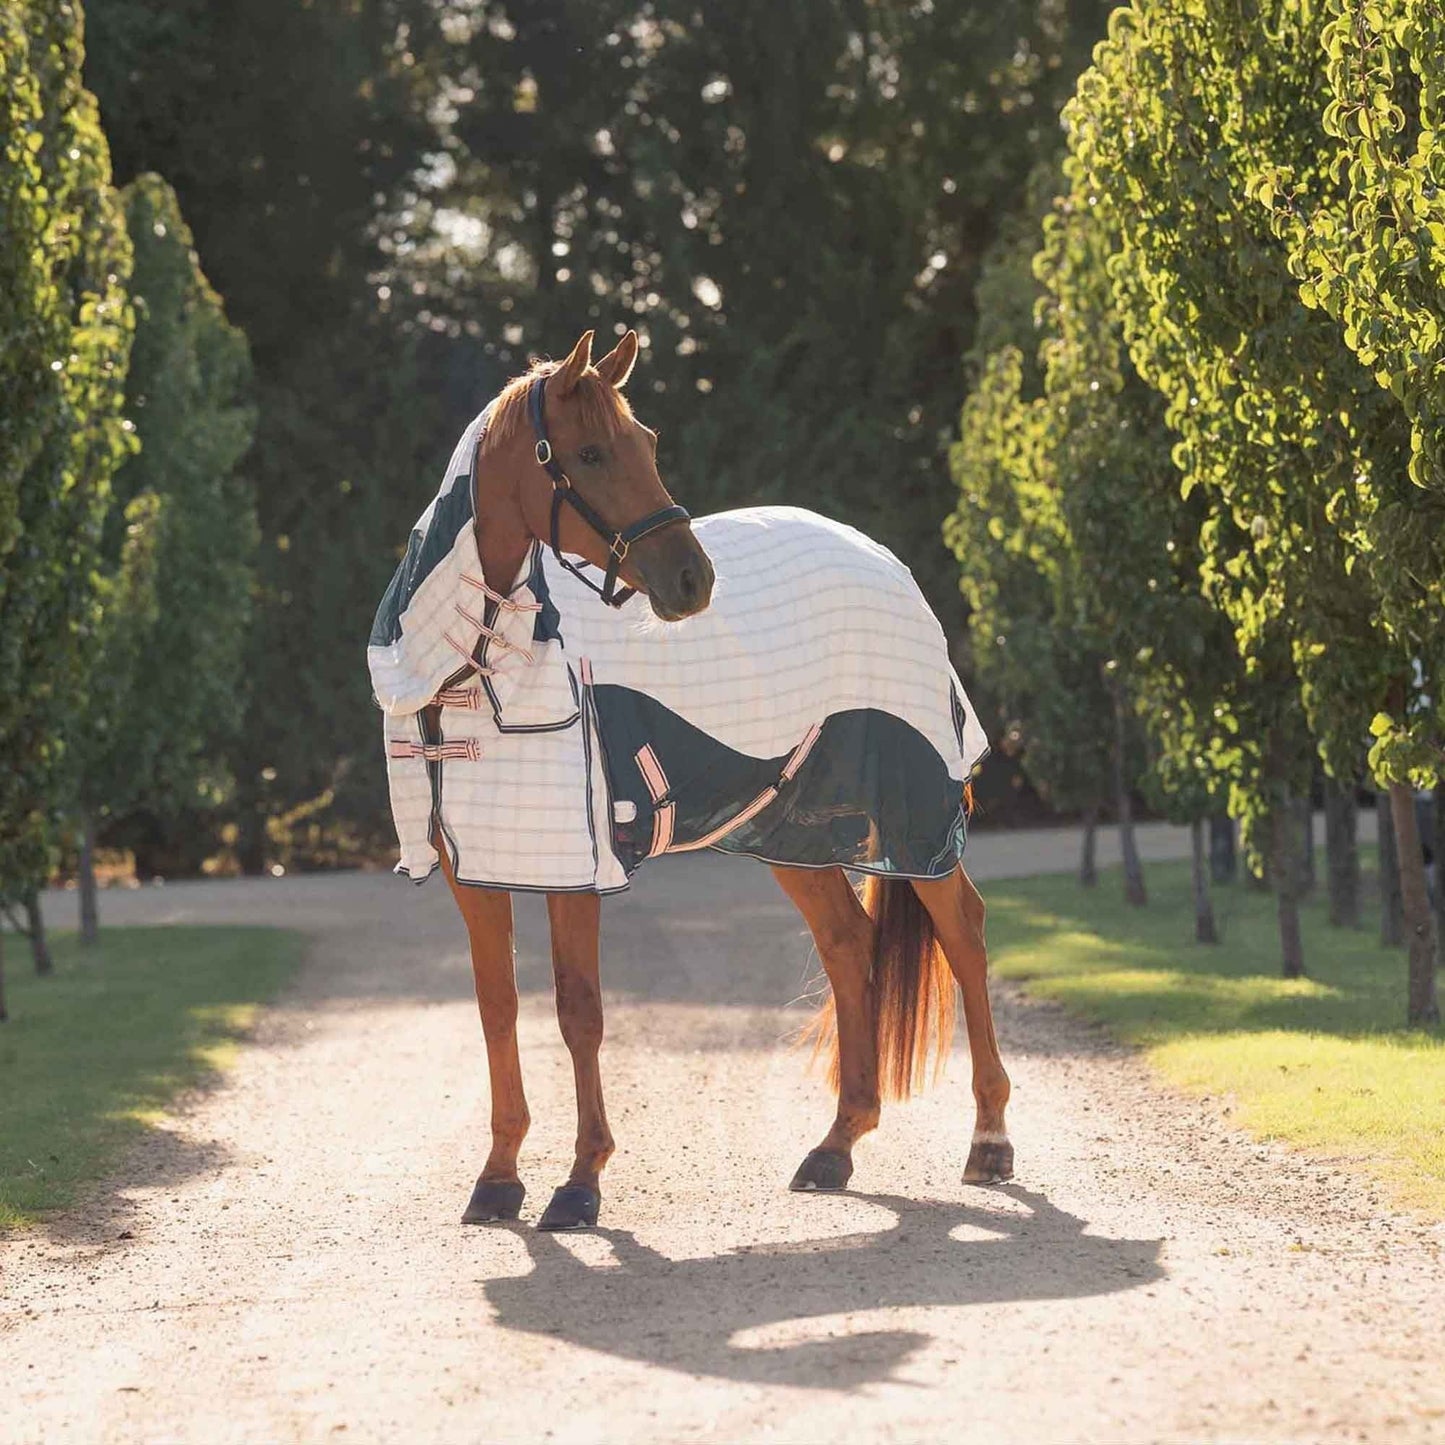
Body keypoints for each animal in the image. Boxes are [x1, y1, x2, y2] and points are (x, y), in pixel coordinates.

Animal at [367, 329, 1011, 1231]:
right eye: (591, 453)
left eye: (647, 443)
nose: (691, 580)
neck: (472, 669)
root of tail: (881, 558)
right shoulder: (475, 869)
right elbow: (499, 1009)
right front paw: (497, 1178)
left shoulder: (578, 869)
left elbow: (578, 1011)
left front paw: (580, 1181)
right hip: (791, 826)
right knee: (847, 944)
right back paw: (836, 1144)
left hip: (912, 815)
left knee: (964, 934)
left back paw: (987, 1139)